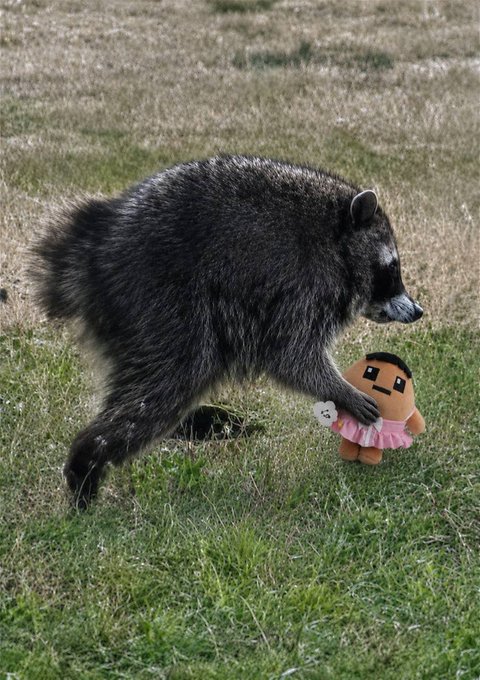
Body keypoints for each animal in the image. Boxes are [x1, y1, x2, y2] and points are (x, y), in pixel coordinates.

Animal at [32, 155, 423, 507]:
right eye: (392, 269)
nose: (418, 311)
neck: (336, 238)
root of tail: (94, 245)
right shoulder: (302, 286)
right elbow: (291, 356)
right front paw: (341, 391)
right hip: (160, 298)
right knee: (170, 379)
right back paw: (88, 460)